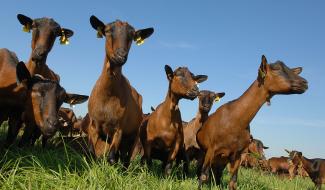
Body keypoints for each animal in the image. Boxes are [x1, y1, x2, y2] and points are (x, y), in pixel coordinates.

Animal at [85, 15, 153, 166]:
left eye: (132, 36)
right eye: (108, 31)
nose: (120, 56)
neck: (108, 95)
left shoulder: (119, 129)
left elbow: (111, 158)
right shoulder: (93, 126)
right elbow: (91, 153)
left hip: (133, 136)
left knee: (125, 159)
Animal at [196, 54, 308, 189]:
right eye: (277, 69)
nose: (305, 83)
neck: (235, 120)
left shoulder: (237, 155)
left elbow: (233, 181)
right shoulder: (211, 150)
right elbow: (203, 175)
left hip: (222, 159)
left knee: (217, 173)